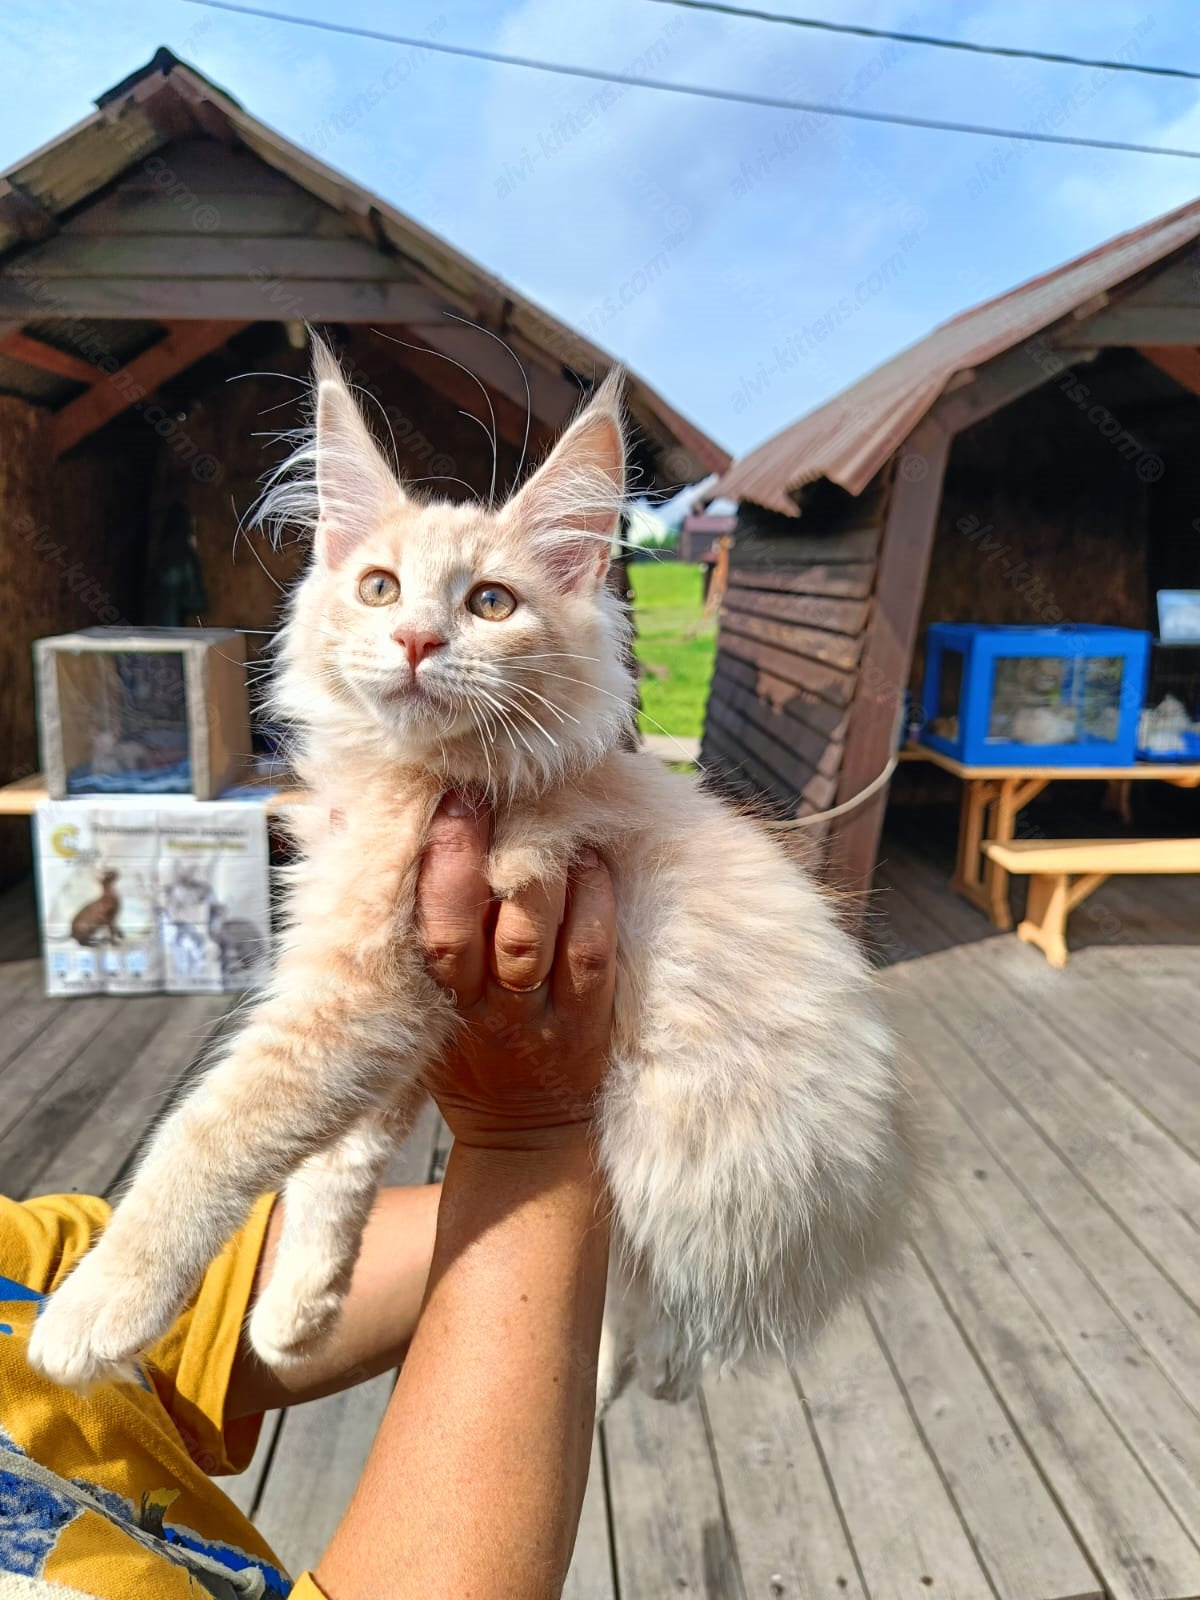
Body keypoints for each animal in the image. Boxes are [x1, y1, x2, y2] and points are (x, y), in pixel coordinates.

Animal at [28, 347, 915, 1401]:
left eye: (490, 603)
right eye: (378, 588)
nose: (416, 641)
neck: (420, 777)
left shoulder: (363, 993)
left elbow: (211, 1134)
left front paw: (95, 1307)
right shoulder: (403, 1021)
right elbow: (341, 1158)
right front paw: (300, 1306)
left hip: (675, 1149)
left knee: (657, 1300)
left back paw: (625, 1369)